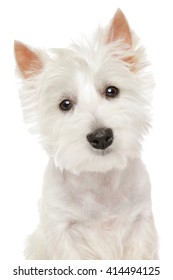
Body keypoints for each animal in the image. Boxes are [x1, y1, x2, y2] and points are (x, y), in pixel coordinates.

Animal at [14, 8, 158, 258]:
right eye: (65, 104)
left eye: (111, 90)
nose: (101, 137)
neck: (100, 181)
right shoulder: (62, 229)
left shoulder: (141, 221)